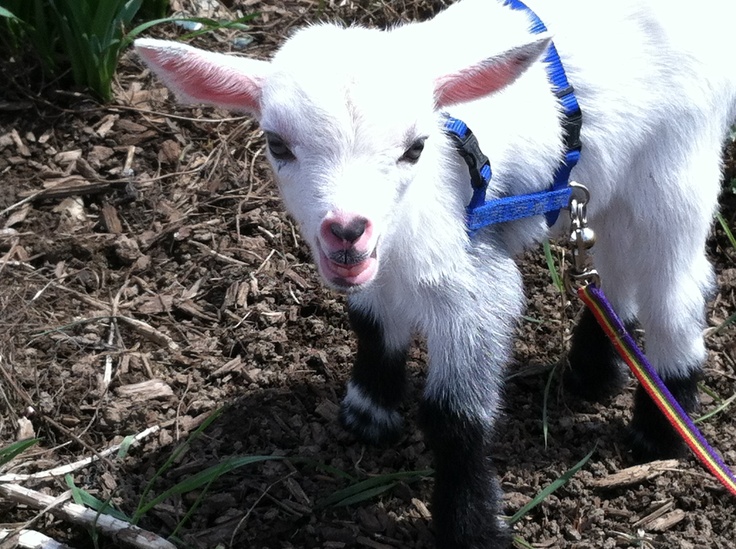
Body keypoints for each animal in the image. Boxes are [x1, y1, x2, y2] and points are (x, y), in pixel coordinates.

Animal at [134, 1, 736, 544]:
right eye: (276, 144)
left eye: (416, 148)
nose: (347, 230)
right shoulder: (375, 271)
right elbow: (372, 326)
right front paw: (369, 412)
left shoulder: (472, 280)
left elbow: (454, 418)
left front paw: (470, 529)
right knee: (614, 266)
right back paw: (594, 373)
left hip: (676, 165)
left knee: (674, 284)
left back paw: (662, 425)